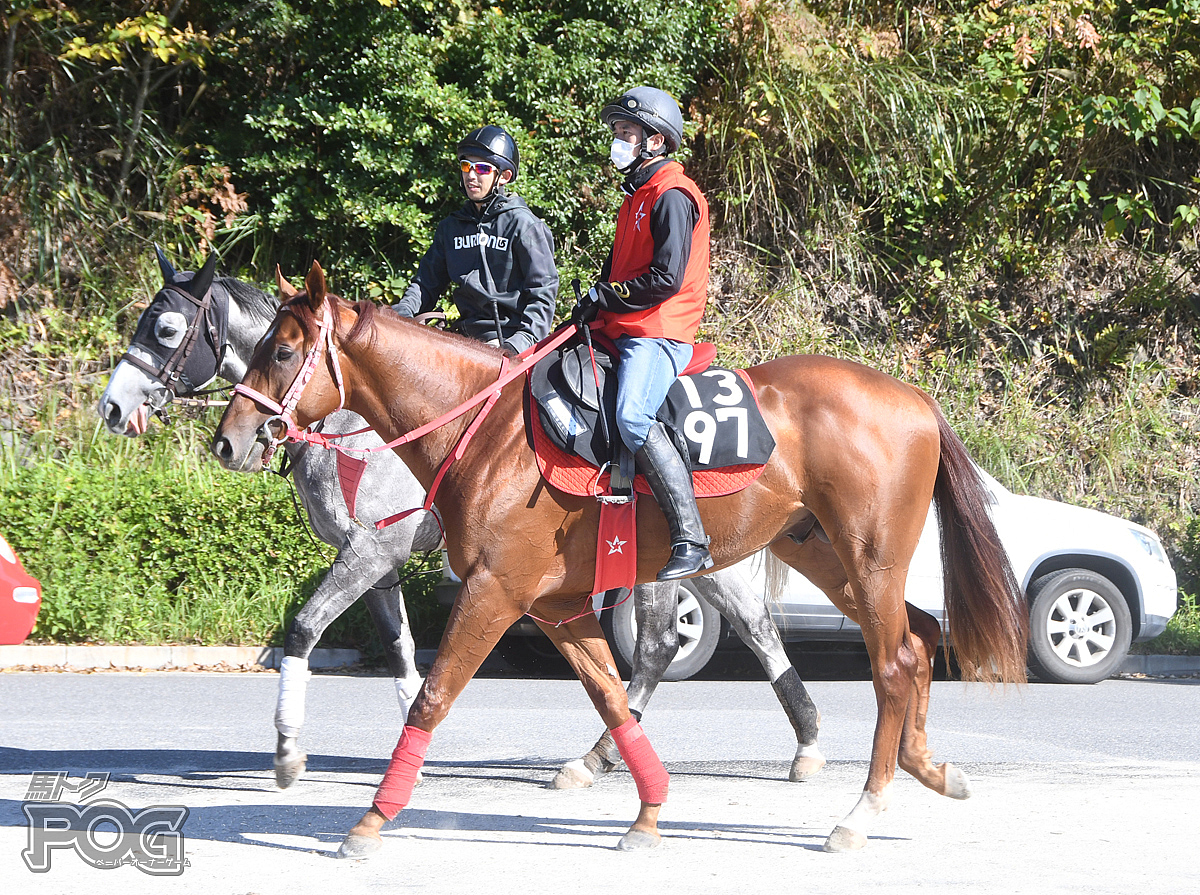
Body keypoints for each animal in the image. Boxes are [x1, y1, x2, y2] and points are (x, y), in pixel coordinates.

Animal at [96, 249, 825, 787]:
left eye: (165, 329)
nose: (112, 407)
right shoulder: (381, 566)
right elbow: (400, 649)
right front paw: (407, 740)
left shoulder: (370, 551)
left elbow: (304, 628)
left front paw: (288, 749)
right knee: (736, 633)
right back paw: (793, 739)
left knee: (677, 642)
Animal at [213, 261, 1022, 854]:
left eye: (282, 351)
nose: (229, 439)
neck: (490, 429)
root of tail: (912, 395)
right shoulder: (556, 607)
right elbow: (609, 693)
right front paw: (649, 808)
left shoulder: (492, 591)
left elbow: (431, 696)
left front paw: (370, 817)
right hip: (826, 556)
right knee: (916, 640)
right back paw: (925, 767)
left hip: (867, 559)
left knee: (891, 664)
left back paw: (863, 808)